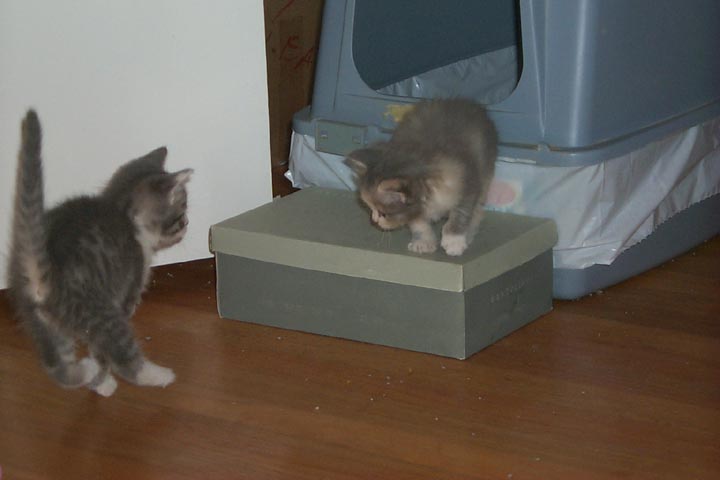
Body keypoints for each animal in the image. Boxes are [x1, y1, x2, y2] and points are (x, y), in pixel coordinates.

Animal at [7, 110, 193, 396]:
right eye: (181, 213)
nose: (187, 225)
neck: (125, 213)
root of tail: (42, 272)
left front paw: (99, 383)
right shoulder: (124, 294)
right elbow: (105, 354)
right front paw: (103, 381)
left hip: (41, 323)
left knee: (58, 369)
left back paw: (84, 370)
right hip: (100, 313)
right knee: (124, 355)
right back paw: (158, 376)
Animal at [345, 98, 497, 256]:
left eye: (383, 214)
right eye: (371, 209)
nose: (374, 220)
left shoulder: (467, 183)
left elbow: (461, 214)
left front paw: (453, 241)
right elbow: (418, 224)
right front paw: (423, 242)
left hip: (486, 169)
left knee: (478, 207)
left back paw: (470, 232)